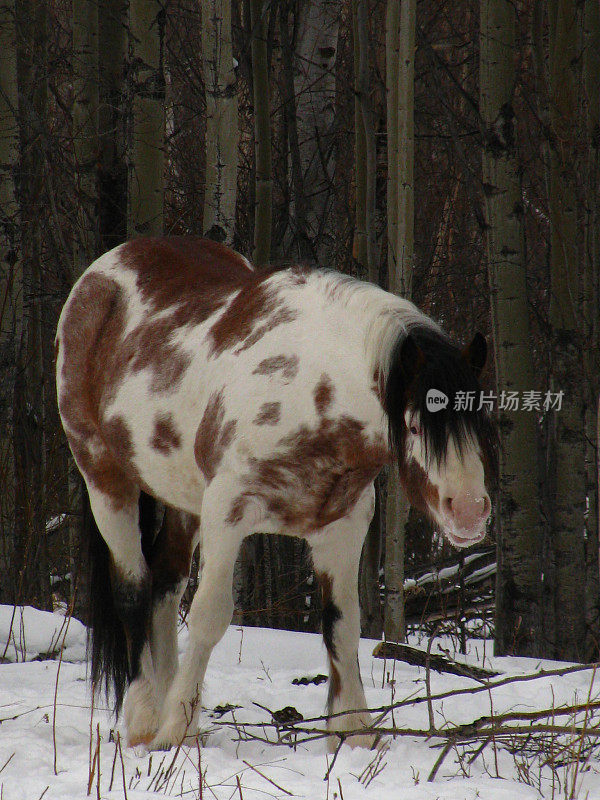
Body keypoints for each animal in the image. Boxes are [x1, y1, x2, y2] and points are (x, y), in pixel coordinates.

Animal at [55, 236, 496, 752]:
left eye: (480, 422)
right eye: (413, 424)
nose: (468, 511)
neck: (310, 386)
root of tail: (100, 275)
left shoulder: (342, 526)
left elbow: (342, 624)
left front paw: (354, 733)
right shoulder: (227, 512)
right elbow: (208, 617)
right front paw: (175, 729)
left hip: (184, 499)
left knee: (165, 583)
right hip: (105, 478)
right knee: (133, 591)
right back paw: (146, 717)